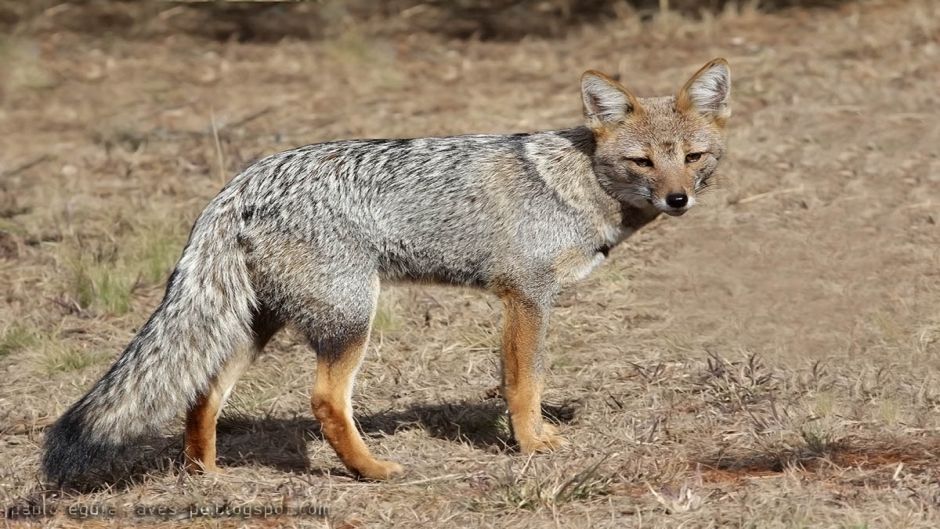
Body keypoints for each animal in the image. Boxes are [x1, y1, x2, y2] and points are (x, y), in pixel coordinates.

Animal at [44, 57, 732, 482]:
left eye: (694, 157)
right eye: (642, 162)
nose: (679, 200)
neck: (576, 182)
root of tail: (241, 182)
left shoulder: (524, 300)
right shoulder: (526, 296)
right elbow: (524, 383)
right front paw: (532, 445)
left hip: (256, 325)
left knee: (203, 393)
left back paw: (207, 475)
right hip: (352, 319)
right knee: (324, 400)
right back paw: (370, 471)